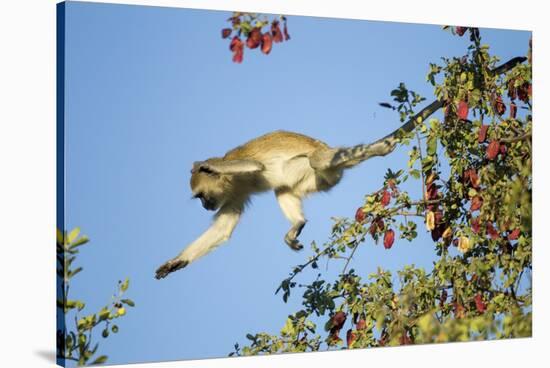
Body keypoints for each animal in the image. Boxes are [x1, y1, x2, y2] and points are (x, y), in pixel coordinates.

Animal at [154, 130, 396, 278]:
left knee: (317, 160)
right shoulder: (234, 195)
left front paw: (206, 166)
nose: (205, 206)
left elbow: (254, 165)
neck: (230, 182)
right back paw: (298, 223)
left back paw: (375, 149)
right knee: (282, 187)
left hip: (320, 164)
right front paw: (175, 262)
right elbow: (222, 229)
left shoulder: (234, 170)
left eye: (202, 196)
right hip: (316, 180)